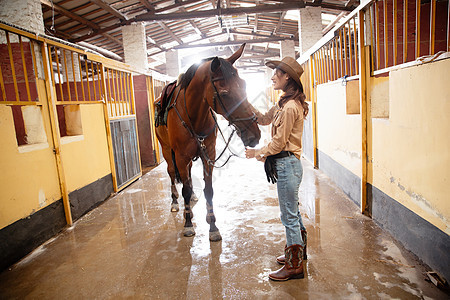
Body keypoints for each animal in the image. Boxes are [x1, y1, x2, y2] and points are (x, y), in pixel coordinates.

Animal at [155, 44, 260, 241]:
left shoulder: (208, 154)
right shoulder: (180, 156)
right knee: (172, 173)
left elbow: (208, 189)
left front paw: (213, 226)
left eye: (244, 85)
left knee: (188, 177)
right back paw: (175, 202)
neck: (193, 116)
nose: (254, 134)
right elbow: (185, 190)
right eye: (225, 94)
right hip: (167, 150)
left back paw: (193, 197)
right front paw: (188, 224)